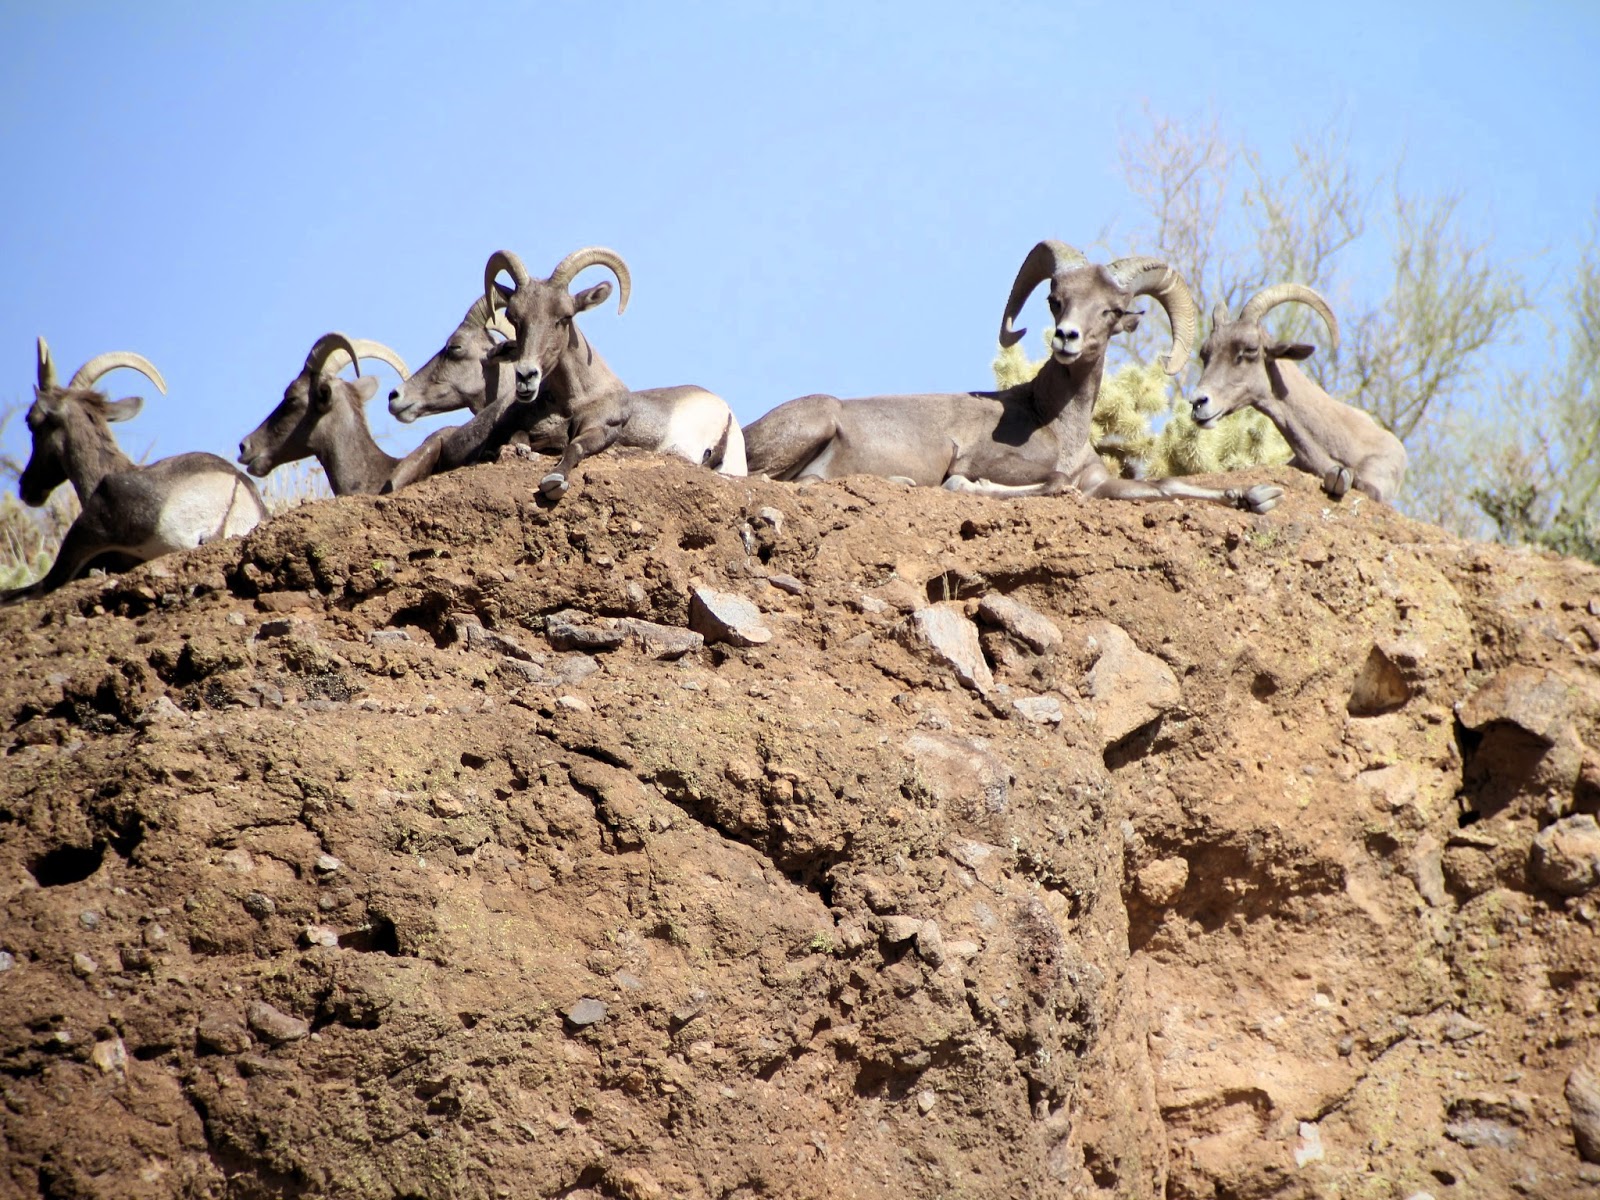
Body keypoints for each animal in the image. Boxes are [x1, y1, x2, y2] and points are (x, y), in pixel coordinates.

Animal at [478, 247, 748, 499]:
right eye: (513, 317)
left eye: (565, 316)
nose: (526, 376)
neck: (575, 401)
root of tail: (725, 414)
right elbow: (519, 436)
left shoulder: (602, 429)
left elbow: (574, 446)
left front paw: (554, 481)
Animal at [742, 240, 1283, 513]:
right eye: (1056, 300)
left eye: (1111, 311)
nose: (1066, 338)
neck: (1053, 423)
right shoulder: (988, 463)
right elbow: (1039, 484)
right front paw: (969, 487)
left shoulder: (1103, 484)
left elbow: (1167, 488)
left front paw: (1255, 496)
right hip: (812, 426)